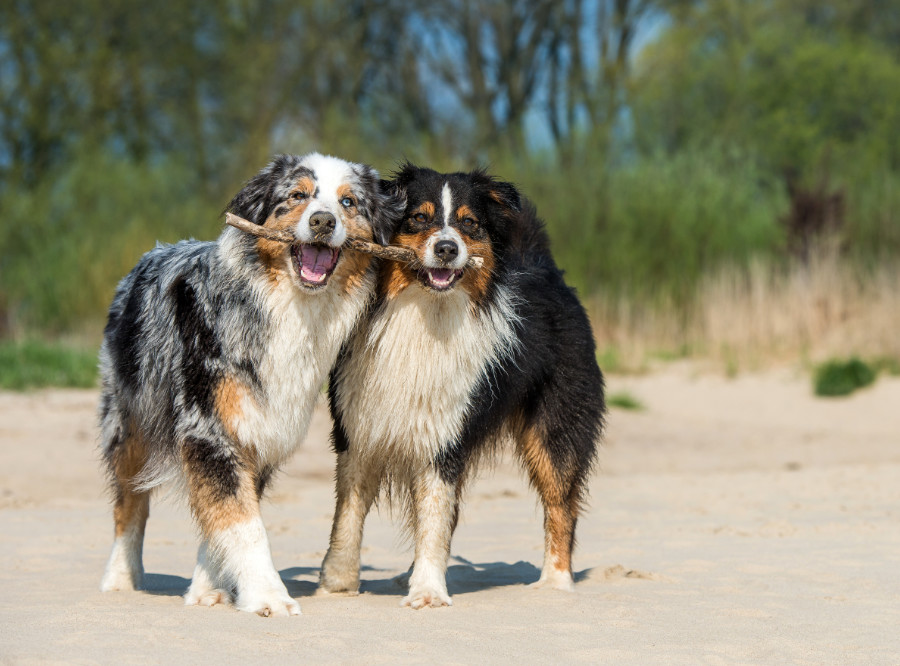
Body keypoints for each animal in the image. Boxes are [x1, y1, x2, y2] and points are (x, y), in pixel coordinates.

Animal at [318, 163, 604, 604]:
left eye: (469, 224)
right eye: (419, 217)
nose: (447, 249)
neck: (422, 313)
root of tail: (547, 270)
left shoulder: (446, 433)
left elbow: (435, 514)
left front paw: (427, 592)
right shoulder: (358, 426)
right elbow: (348, 513)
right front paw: (337, 583)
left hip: (555, 427)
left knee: (560, 502)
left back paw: (555, 580)